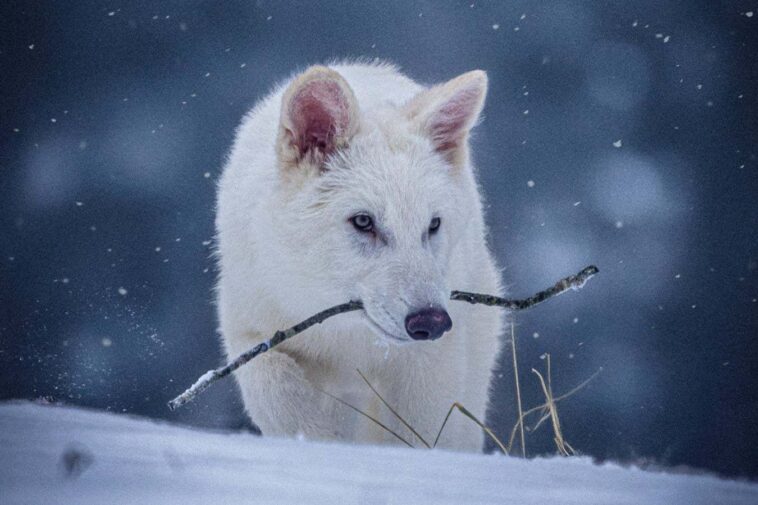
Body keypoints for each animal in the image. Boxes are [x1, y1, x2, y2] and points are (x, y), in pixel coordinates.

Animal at [215, 61, 504, 451]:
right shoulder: (251, 332)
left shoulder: (429, 363)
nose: (431, 322)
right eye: (364, 221)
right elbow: (279, 393)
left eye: (433, 225)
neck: (347, 335)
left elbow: (419, 435)